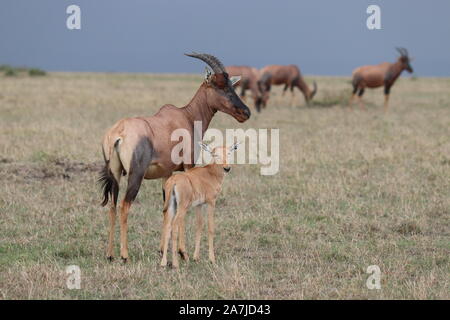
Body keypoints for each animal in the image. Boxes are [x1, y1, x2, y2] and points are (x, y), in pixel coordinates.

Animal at [98, 52, 250, 262]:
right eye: (220, 86)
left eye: (231, 85)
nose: (246, 112)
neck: (186, 116)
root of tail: (117, 133)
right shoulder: (188, 166)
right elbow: (184, 211)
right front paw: (183, 252)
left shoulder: (166, 174)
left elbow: (166, 210)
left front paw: (163, 250)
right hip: (135, 175)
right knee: (124, 206)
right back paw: (124, 255)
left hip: (115, 173)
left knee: (112, 206)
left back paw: (110, 254)